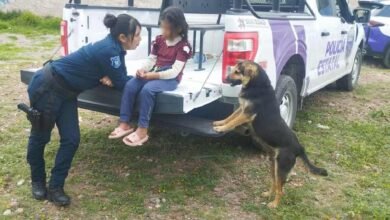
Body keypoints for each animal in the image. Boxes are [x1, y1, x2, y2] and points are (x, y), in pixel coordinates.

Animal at [215, 60, 328, 208]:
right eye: (233, 70)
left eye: (237, 72)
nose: (225, 79)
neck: (257, 85)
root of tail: (299, 147)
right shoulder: (242, 109)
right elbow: (230, 117)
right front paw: (219, 123)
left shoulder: (247, 114)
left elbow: (232, 122)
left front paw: (221, 129)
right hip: (274, 165)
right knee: (275, 183)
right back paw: (268, 194)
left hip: (281, 167)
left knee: (281, 190)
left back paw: (274, 204)